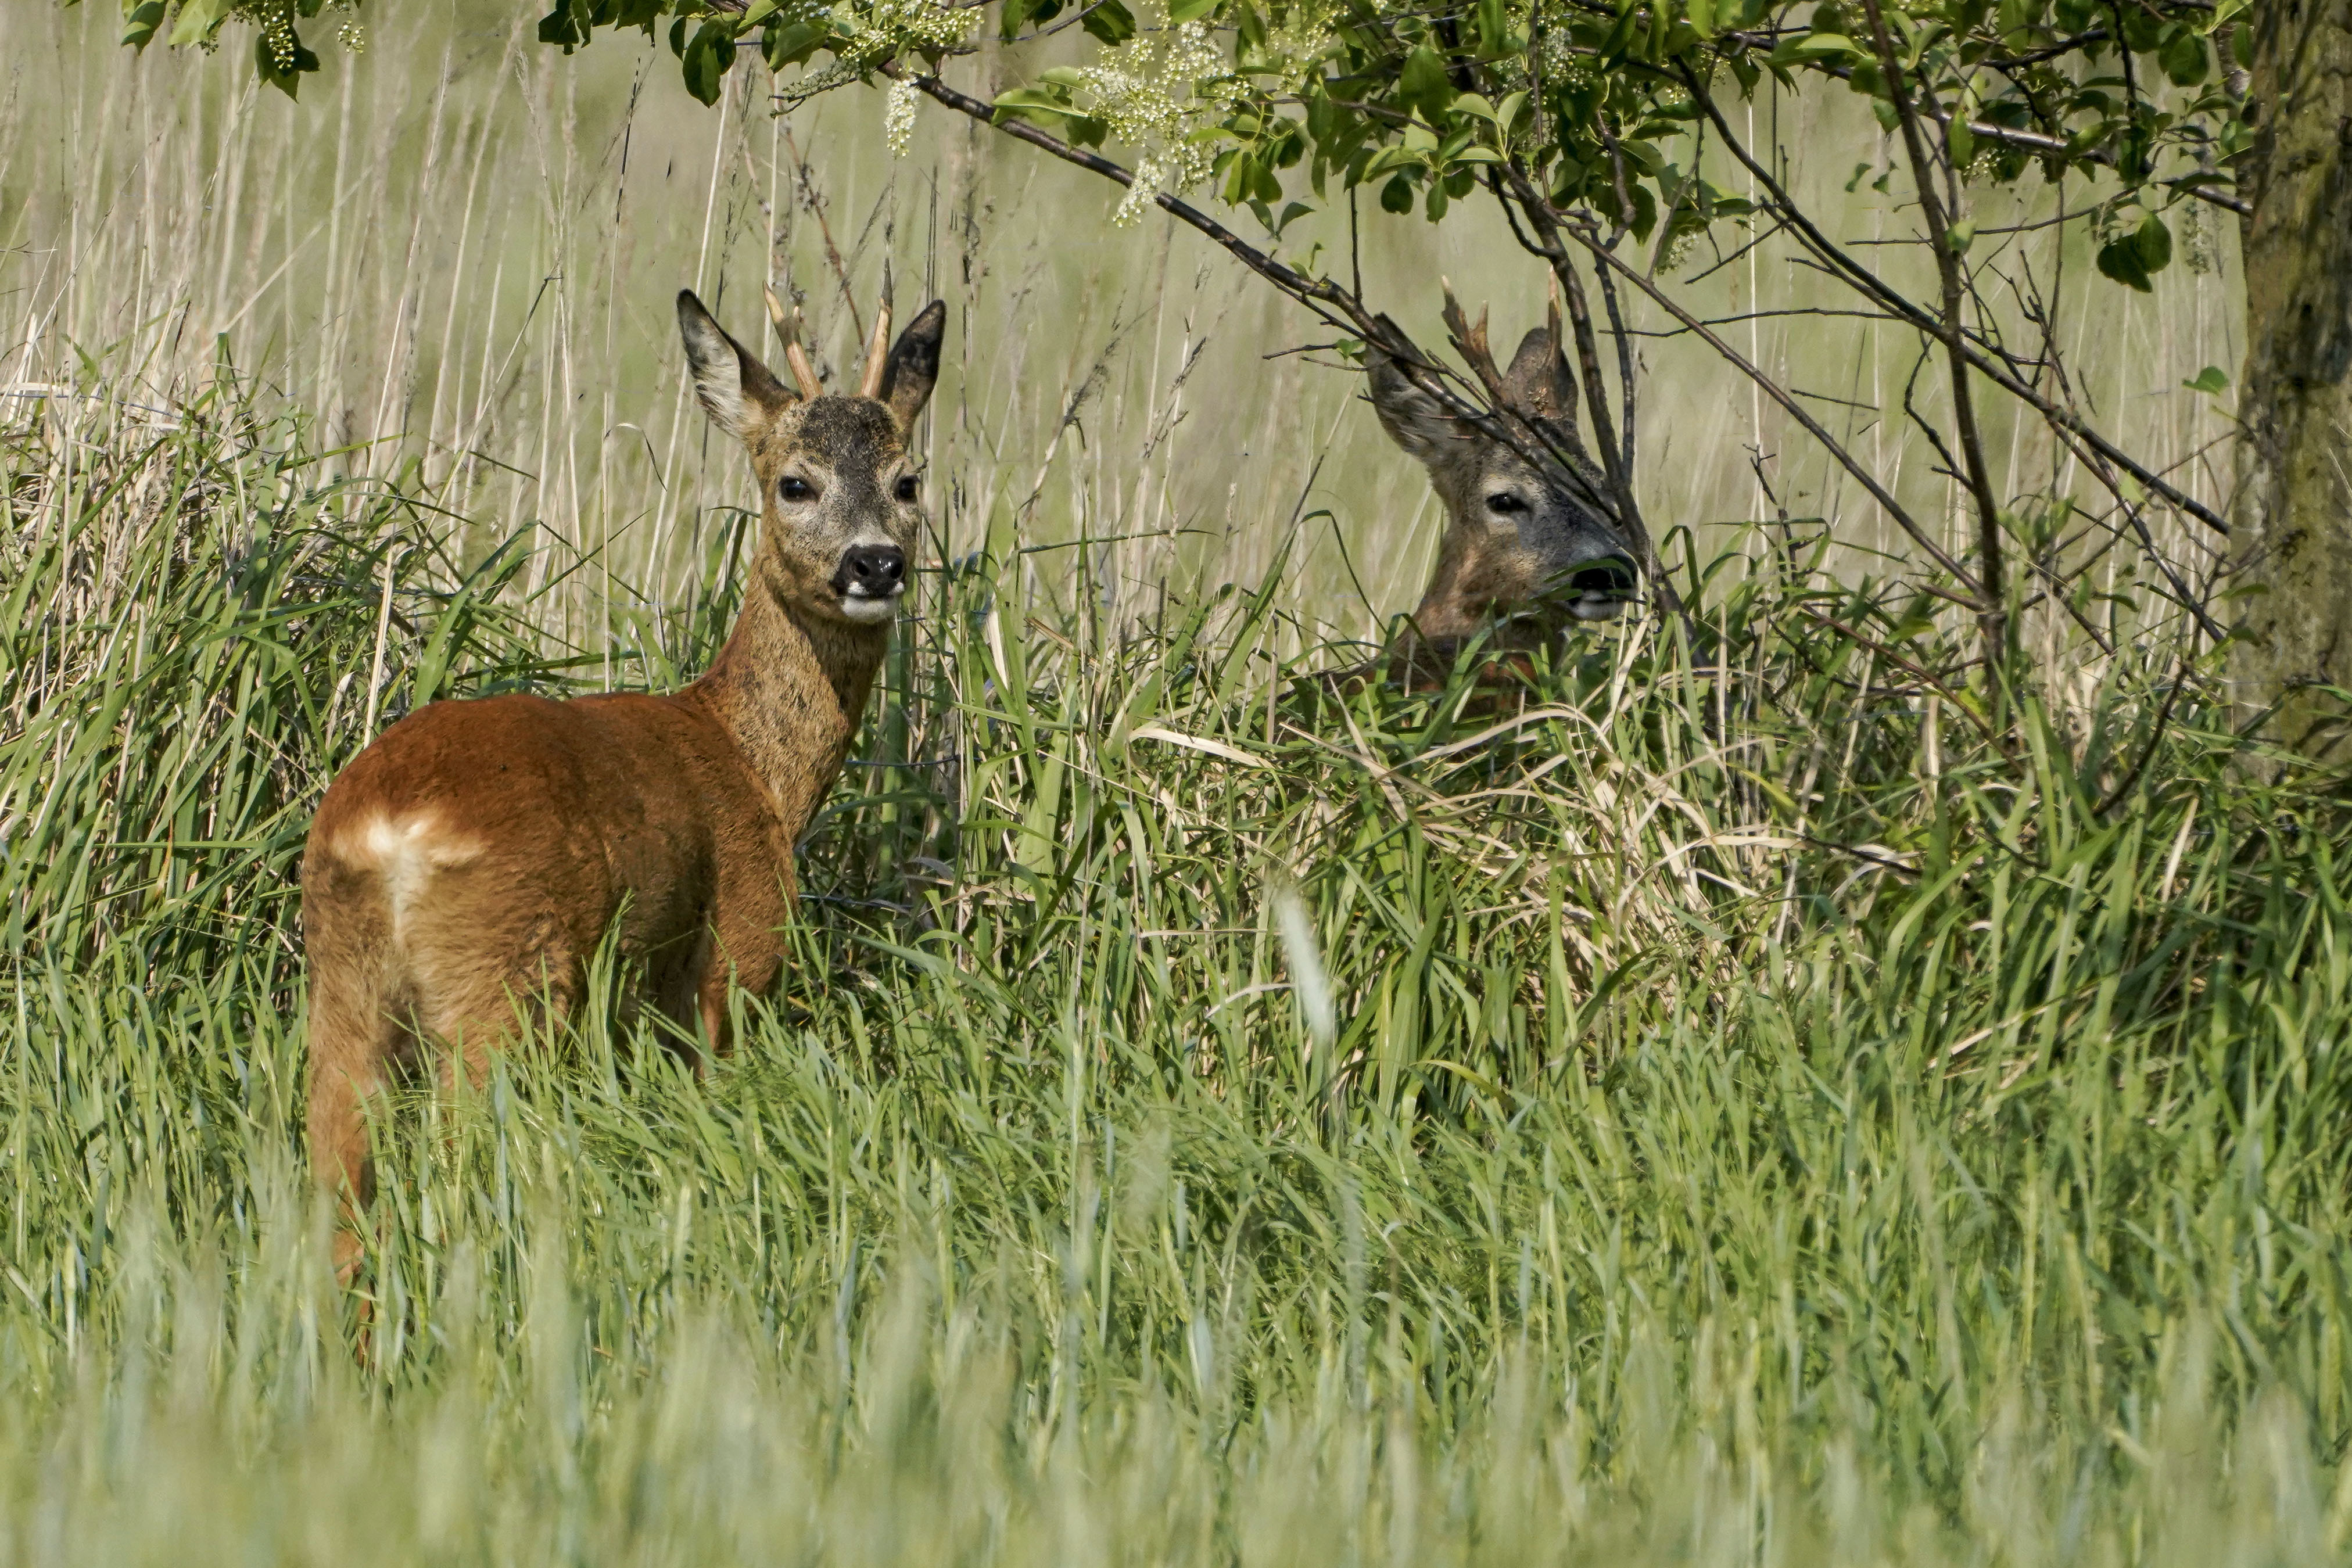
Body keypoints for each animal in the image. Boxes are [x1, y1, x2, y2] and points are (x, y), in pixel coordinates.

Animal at [301, 287, 945, 1270]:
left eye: (908, 481)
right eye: (795, 483)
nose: (874, 563)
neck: (752, 761)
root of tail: (387, 835)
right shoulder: (735, 953)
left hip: (342, 984)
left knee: (330, 1190)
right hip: (508, 977)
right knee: (455, 1166)